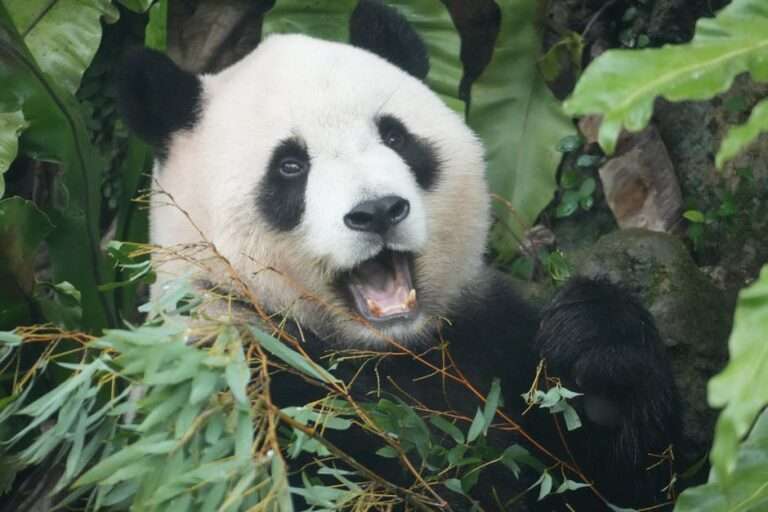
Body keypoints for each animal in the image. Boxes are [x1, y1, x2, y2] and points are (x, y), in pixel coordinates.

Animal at [117, 1, 680, 509]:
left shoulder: (487, 339)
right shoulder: (235, 383)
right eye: (291, 166)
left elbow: (620, 479)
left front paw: (597, 347)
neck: (389, 349)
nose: (378, 211)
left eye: (395, 136)